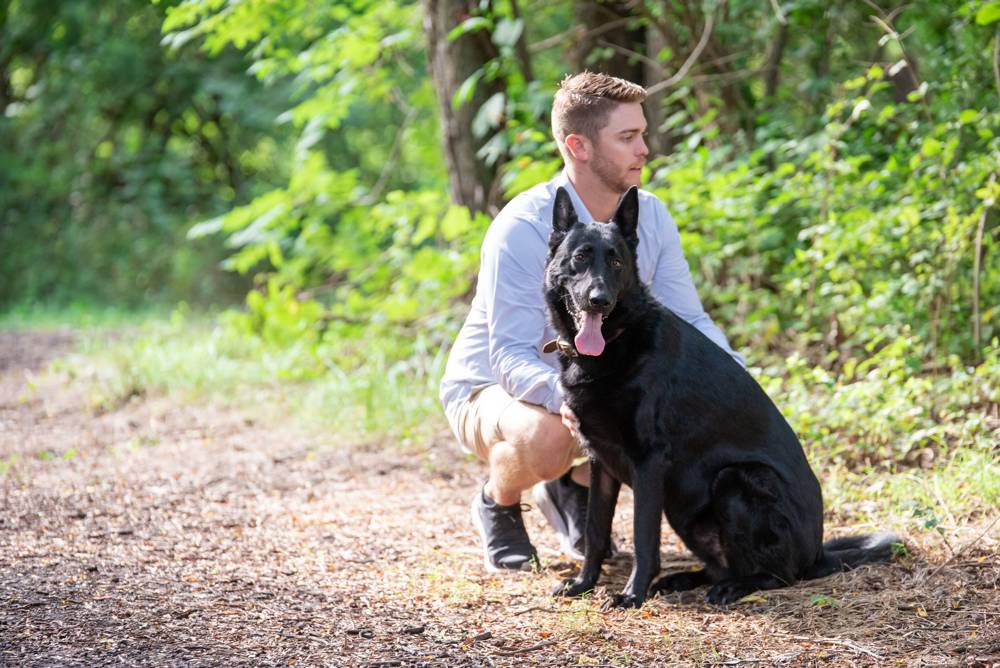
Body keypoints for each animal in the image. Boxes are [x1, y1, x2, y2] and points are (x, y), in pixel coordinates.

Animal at [544, 185, 904, 608]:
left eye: (616, 261)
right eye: (580, 257)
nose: (598, 299)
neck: (618, 340)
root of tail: (817, 553)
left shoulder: (649, 463)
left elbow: (643, 538)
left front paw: (632, 595)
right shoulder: (601, 463)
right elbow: (597, 532)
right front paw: (584, 583)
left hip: (735, 481)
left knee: (779, 575)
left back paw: (733, 587)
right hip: (685, 512)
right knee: (724, 564)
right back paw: (685, 579)